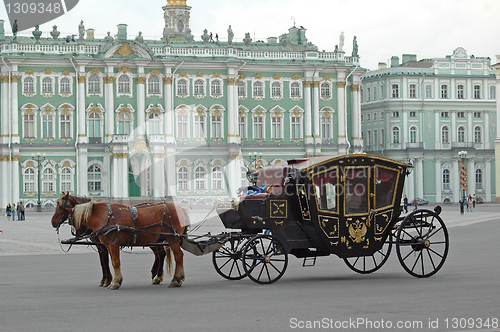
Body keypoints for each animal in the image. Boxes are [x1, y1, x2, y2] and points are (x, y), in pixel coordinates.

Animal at [51, 193, 189, 290]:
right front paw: (108, 281)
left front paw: (113, 282)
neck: (103, 216)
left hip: (172, 238)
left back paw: (174, 279)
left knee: (178, 256)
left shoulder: (111, 245)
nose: (53, 222)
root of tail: (180, 209)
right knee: (164, 254)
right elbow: (106, 262)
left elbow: (113, 262)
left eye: (61, 206)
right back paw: (162, 277)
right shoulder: (105, 245)